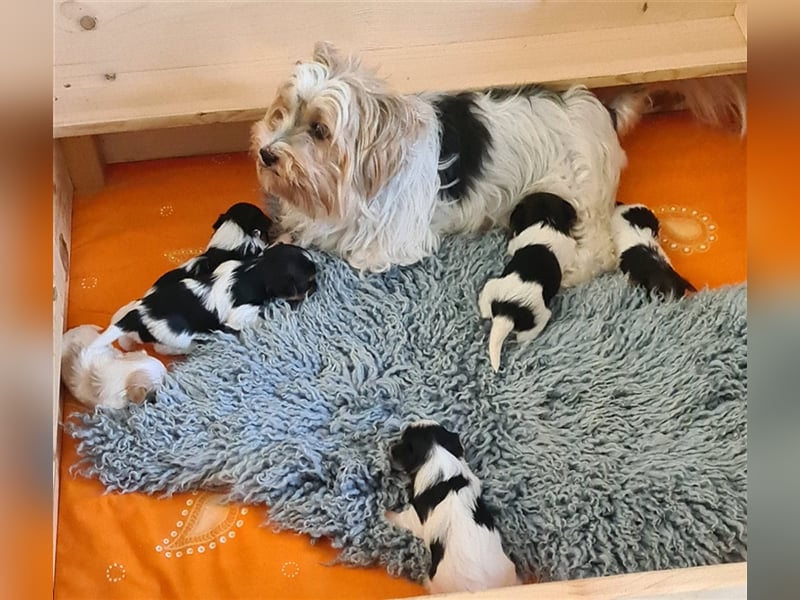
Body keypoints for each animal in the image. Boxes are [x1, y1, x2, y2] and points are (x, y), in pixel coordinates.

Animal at [386, 422, 520, 596]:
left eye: (403, 440)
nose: (390, 447)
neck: (439, 456)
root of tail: (481, 590)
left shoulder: (414, 517)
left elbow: (400, 517)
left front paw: (384, 513)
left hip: (436, 582)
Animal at [478, 192, 580, 370]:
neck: (546, 220)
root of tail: (508, 310)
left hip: (492, 286)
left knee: (485, 309)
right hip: (540, 317)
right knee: (525, 337)